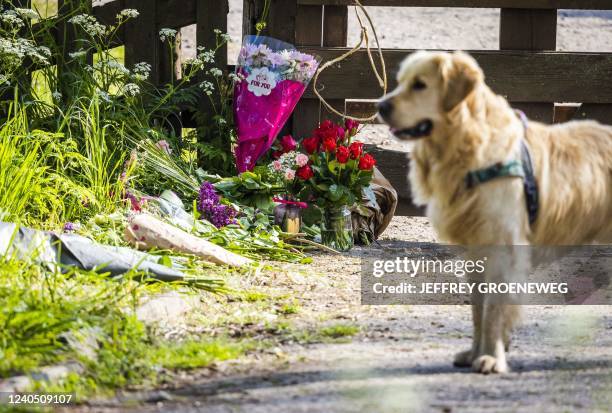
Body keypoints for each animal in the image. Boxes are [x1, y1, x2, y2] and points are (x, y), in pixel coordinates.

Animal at [378, 50, 612, 374]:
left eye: (420, 85)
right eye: (400, 82)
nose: (380, 106)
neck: (469, 145)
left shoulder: (503, 247)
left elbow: (493, 310)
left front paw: (492, 358)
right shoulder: (475, 251)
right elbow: (478, 309)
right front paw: (475, 352)